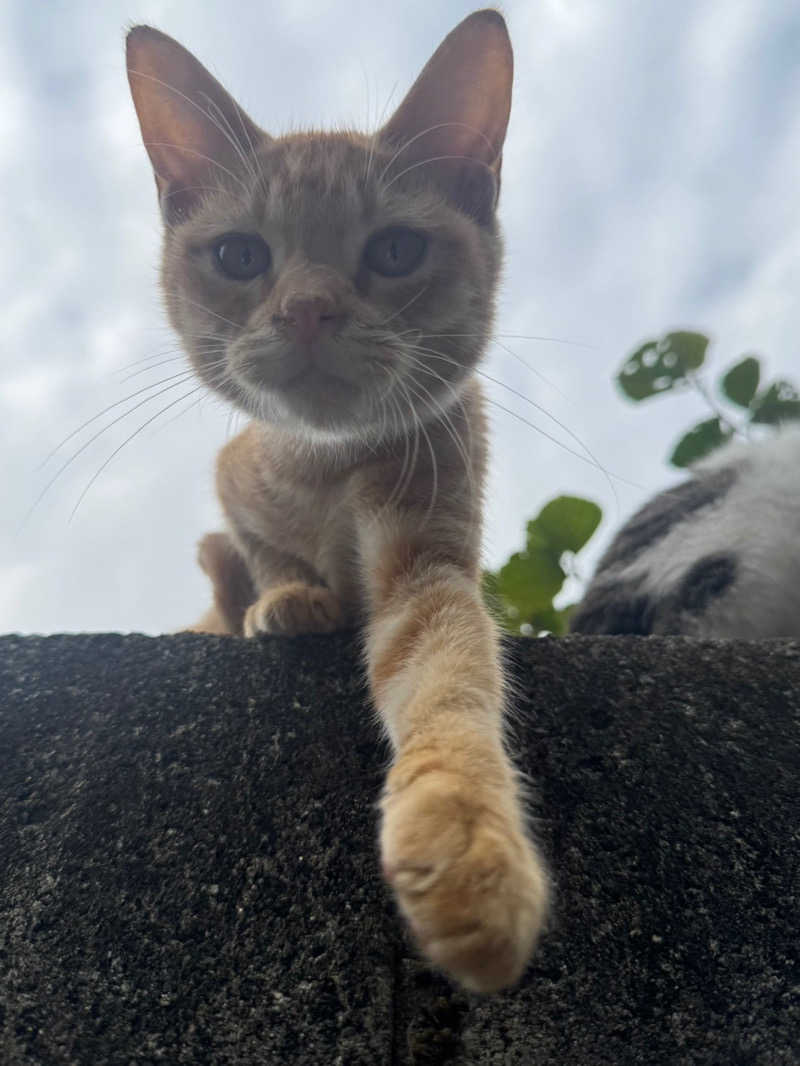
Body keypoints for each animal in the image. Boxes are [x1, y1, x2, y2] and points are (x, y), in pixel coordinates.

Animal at [126, 10, 550, 989]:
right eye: (239, 255)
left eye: (395, 249)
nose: (309, 308)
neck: (325, 471)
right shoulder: (231, 484)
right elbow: (258, 550)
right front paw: (289, 597)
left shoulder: (429, 550)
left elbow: (448, 670)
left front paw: (471, 852)